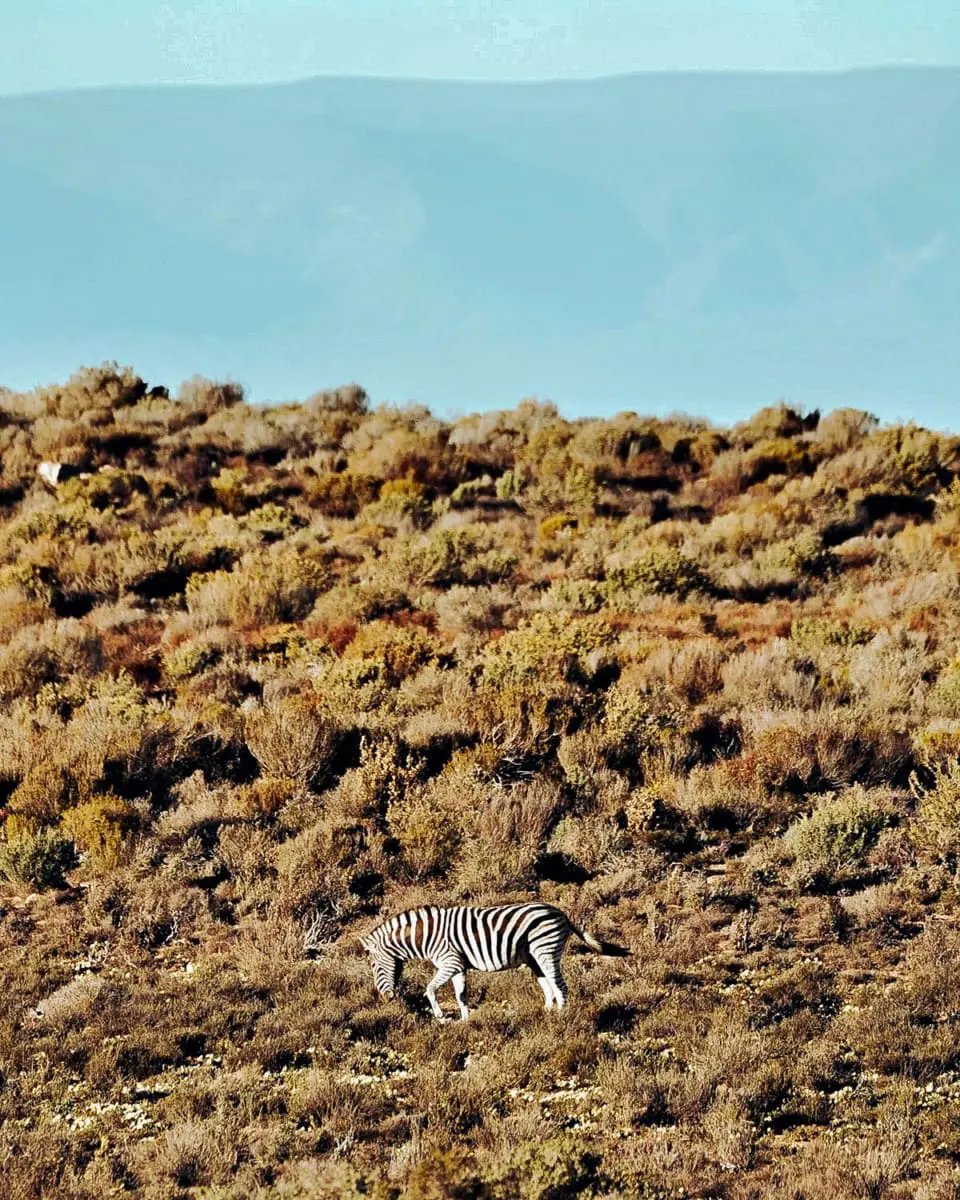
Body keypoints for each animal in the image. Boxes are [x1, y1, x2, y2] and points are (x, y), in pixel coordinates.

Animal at [359, 902, 630, 1020]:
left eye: (373, 966)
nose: (385, 998)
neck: (427, 936)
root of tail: (561, 912)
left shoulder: (449, 962)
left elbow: (430, 989)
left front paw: (441, 1016)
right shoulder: (459, 966)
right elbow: (461, 995)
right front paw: (465, 1021)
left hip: (545, 950)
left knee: (560, 986)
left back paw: (561, 1019)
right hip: (533, 957)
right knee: (549, 987)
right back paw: (545, 1014)